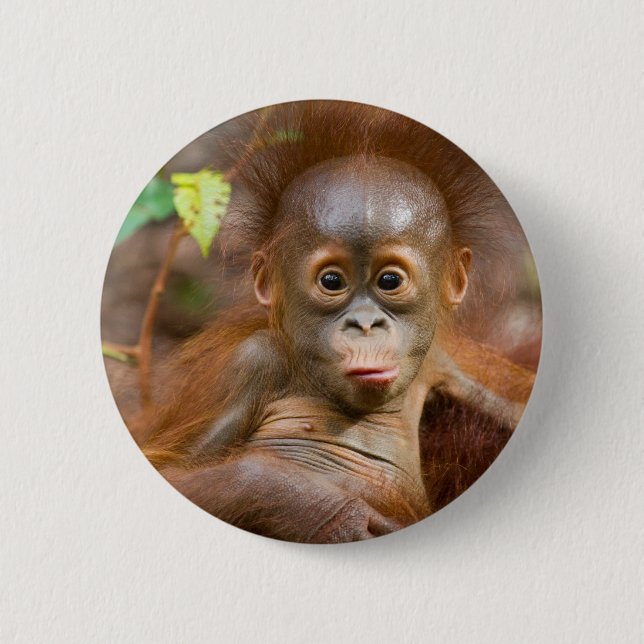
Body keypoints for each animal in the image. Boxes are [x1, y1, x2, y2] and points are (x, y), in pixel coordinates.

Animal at [138, 102, 538, 543]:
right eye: (332, 281)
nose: (364, 324)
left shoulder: (441, 362)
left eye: (390, 281)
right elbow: (174, 468)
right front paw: (324, 510)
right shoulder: (251, 361)